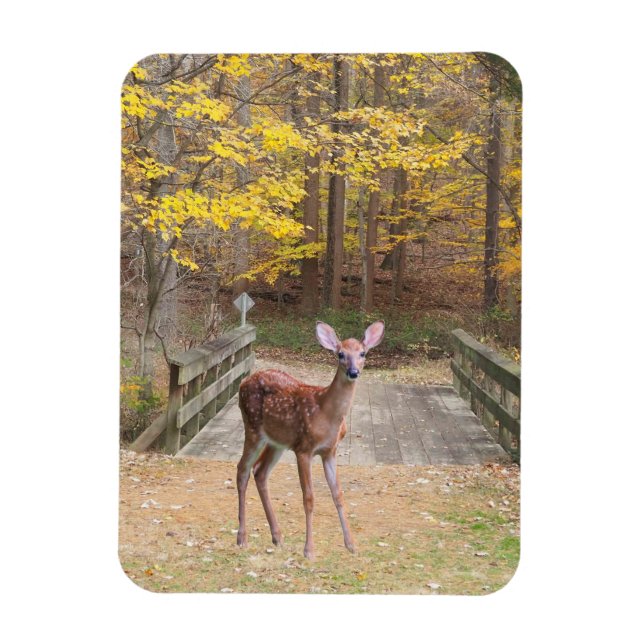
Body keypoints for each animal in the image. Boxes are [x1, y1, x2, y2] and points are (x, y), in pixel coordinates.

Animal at [236, 320, 385, 560]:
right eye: (340, 354)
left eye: (363, 353)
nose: (353, 372)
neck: (326, 414)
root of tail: (242, 382)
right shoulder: (303, 449)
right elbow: (309, 498)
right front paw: (309, 550)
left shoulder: (330, 451)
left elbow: (338, 494)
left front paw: (351, 545)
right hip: (252, 428)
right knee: (242, 470)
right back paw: (242, 537)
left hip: (276, 441)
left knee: (260, 472)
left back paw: (277, 536)